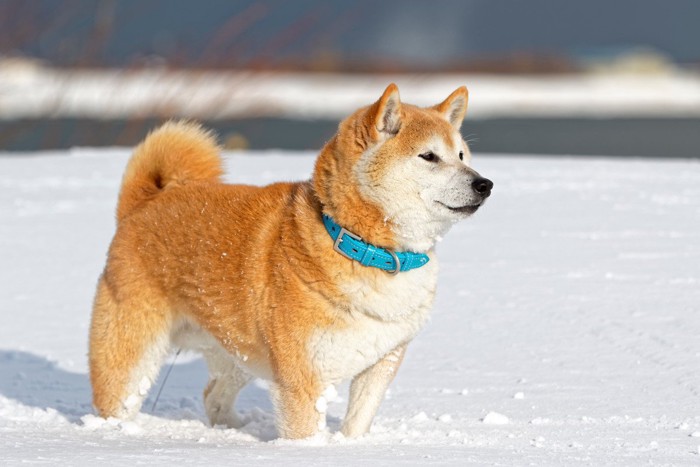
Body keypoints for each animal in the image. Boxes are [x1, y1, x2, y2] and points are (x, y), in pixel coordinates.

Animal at [89, 84, 492, 438]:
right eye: (429, 156)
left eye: (461, 156)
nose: (484, 184)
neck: (363, 248)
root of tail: (143, 204)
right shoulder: (302, 379)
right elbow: (305, 432)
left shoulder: (380, 364)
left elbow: (357, 423)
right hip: (132, 354)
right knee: (116, 401)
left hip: (240, 352)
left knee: (213, 396)